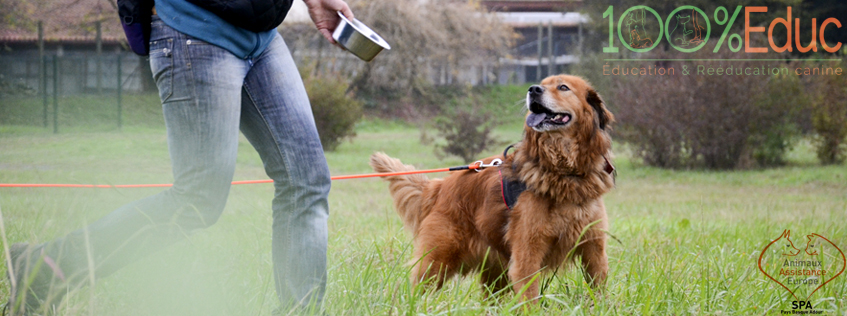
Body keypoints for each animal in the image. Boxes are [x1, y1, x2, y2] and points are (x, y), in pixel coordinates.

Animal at [372, 74, 616, 302]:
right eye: (542, 83)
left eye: (563, 87)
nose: (533, 89)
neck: (564, 171)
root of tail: (439, 187)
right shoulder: (527, 253)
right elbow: (530, 299)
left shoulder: (594, 249)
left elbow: (599, 290)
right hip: (436, 263)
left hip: (495, 272)